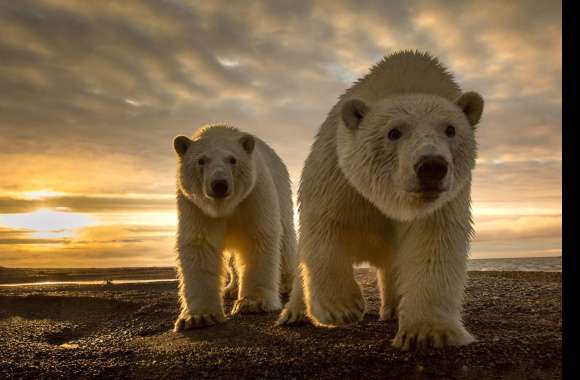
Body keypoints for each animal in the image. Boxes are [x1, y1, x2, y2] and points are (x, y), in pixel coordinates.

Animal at [172, 124, 296, 330]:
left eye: (232, 159)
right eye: (201, 160)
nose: (219, 185)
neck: (224, 206)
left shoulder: (254, 194)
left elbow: (258, 237)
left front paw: (253, 303)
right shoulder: (195, 206)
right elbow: (199, 245)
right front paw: (199, 317)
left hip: (282, 191)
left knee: (285, 239)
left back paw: (286, 283)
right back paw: (231, 288)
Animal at [278, 50, 482, 350]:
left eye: (450, 129)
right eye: (393, 132)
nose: (431, 166)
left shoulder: (444, 199)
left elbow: (434, 242)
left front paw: (428, 332)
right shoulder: (337, 174)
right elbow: (326, 226)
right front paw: (342, 308)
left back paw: (393, 309)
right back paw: (293, 313)